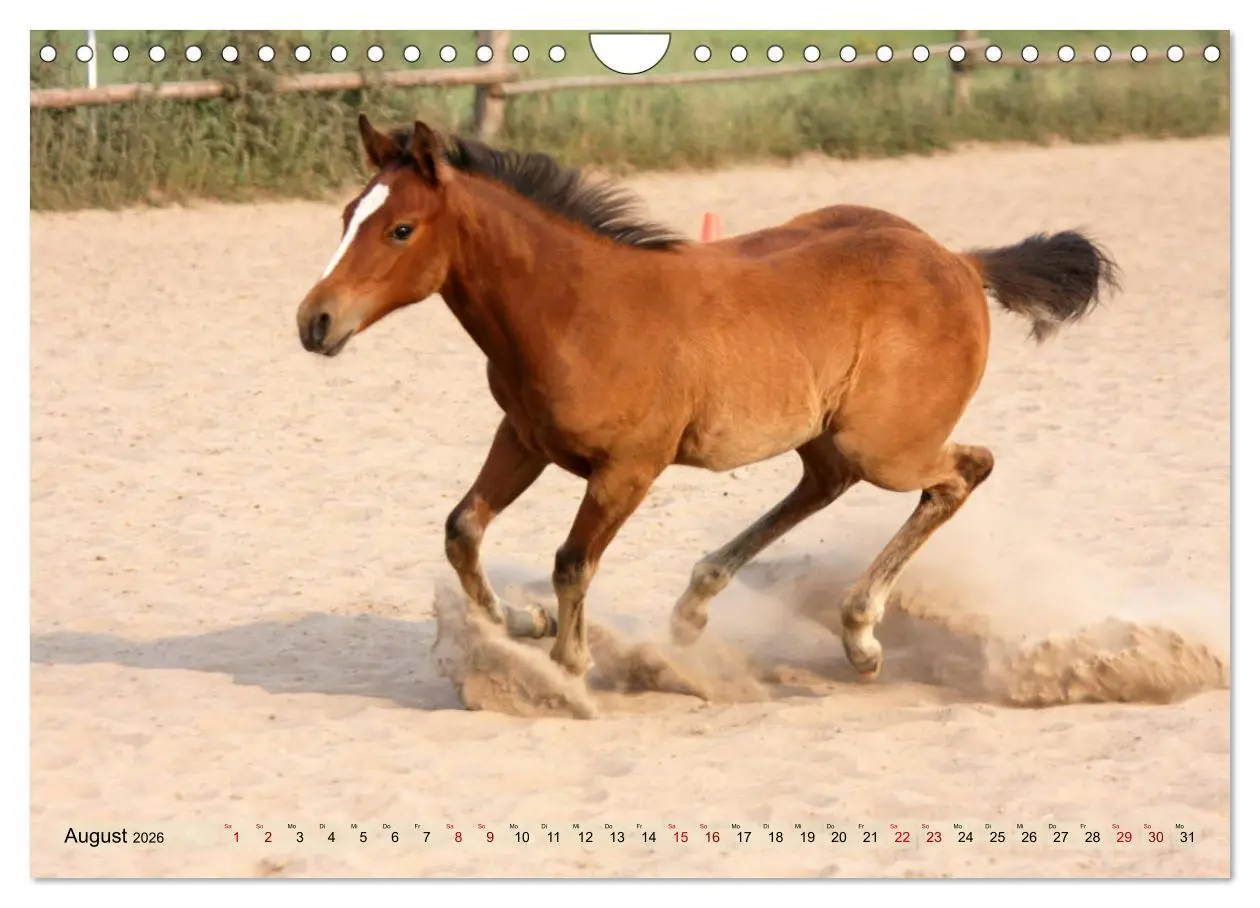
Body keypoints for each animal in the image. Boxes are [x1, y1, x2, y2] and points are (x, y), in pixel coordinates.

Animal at [296, 115, 1119, 684]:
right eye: (345, 217)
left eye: (401, 229)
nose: (315, 321)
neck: (575, 310)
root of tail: (958, 260)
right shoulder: (524, 438)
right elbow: (463, 528)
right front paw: (524, 624)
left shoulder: (629, 467)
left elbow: (572, 562)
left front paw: (568, 667)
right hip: (831, 433)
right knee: (823, 483)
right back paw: (698, 603)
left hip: (886, 444)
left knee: (961, 471)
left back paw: (859, 634)